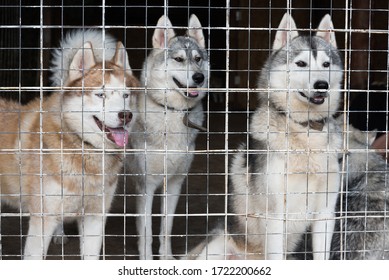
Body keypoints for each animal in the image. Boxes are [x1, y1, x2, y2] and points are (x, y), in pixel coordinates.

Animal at [0, 29, 139, 260]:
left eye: (126, 95)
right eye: (100, 95)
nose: (126, 115)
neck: (83, 148)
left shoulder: (95, 217)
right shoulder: (42, 221)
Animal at [126, 14, 208, 260]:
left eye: (198, 59)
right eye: (179, 59)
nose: (199, 77)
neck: (171, 112)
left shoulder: (174, 183)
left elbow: (166, 228)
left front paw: (166, 257)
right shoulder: (146, 186)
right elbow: (147, 233)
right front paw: (146, 259)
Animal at [186, 13, 342, 260]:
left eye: (326, 64)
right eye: (301, 64)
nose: (322, 85)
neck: (305, 134)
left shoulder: (325, 214)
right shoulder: (275, 216)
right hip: (216, 248)